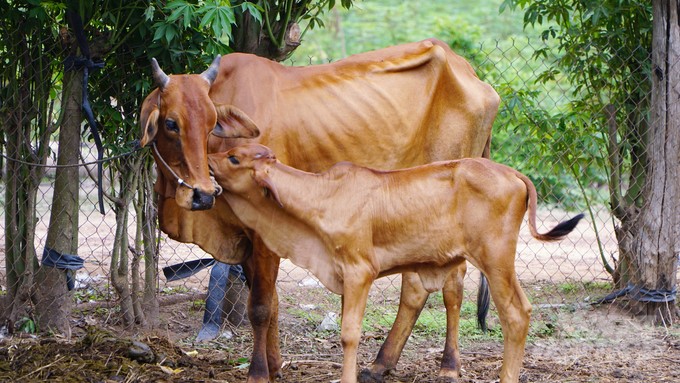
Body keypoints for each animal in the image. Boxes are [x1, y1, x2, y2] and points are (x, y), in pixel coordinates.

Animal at [139, 37, 500, 382]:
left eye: (212, 122)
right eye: (171, 123)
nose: (202, 194)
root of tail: (468, 71)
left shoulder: (265, 232)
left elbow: (260, 306)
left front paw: (258, 372)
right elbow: (271, 302)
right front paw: (275, 365)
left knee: (452, 284)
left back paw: (448, 366)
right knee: (416, 286)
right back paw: (380, 365)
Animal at [209, 144, 584, 383]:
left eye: (233, 157)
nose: (206, 161)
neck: (323, 198)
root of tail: (514, 174)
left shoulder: (359, 272)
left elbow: (349, 334)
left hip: (496, 260)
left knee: (515, 315)